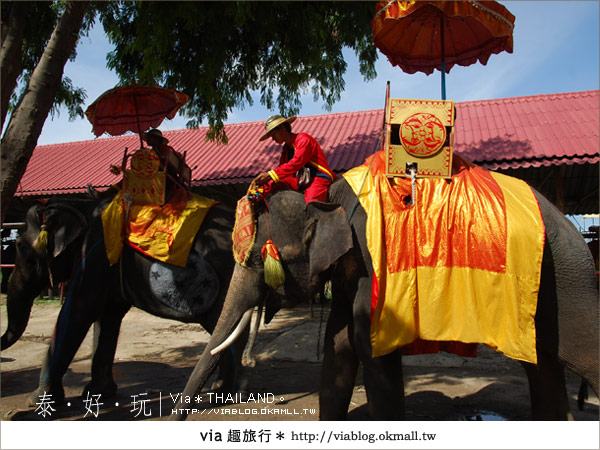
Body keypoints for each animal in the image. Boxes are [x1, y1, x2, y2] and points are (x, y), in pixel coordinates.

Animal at [1, 195, 246, 406]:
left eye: (20, 246)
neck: (80, 205)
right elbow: (108, 317)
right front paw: (99, 393)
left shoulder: (95, 255)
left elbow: (79, 311)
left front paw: (38, 402)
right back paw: (221, 390)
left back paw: (224, 394)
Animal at [169, 174, 600, 420]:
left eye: (259, 260)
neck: (327, 198)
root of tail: (574, 228)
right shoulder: (350, 271)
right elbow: (339, 344)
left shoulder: (373, 263)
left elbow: (367, 344)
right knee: (543, 364)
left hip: (567, 280)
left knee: (582, 354)